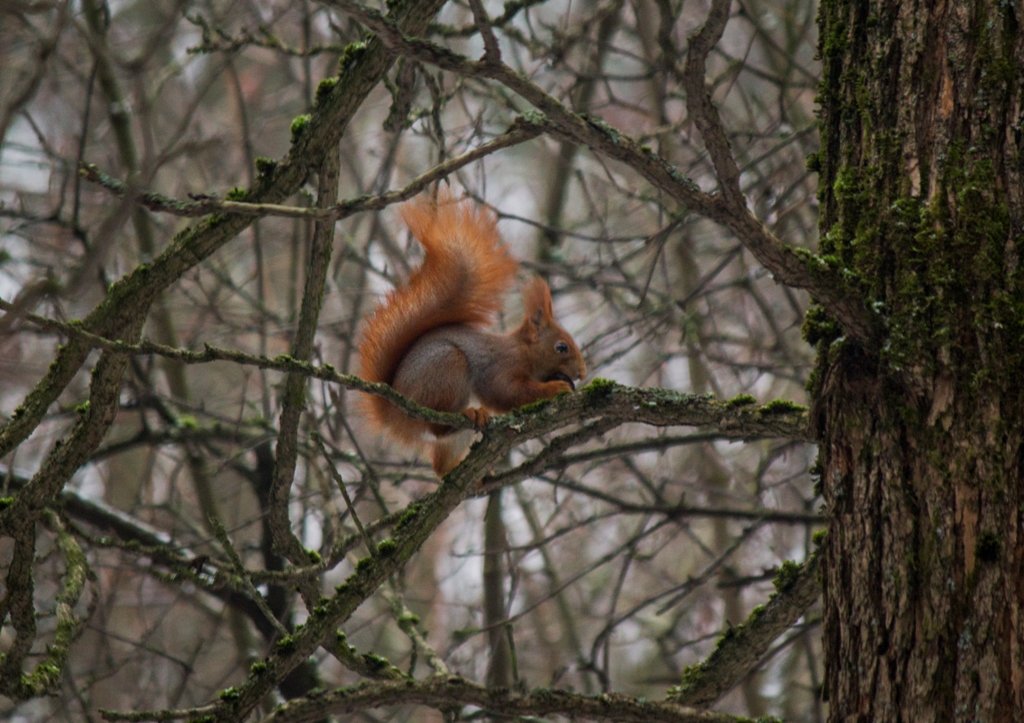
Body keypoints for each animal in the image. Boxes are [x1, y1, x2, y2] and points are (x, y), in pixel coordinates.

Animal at [358, 191, 585, 473]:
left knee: (441, 466)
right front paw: (555, 388)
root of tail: (394, 413)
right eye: (561, 347)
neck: (524, 352)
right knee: (438, 428)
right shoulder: (502, 368)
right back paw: (469, 414)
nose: (582, 373)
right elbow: (510, 393)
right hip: (447, 368)